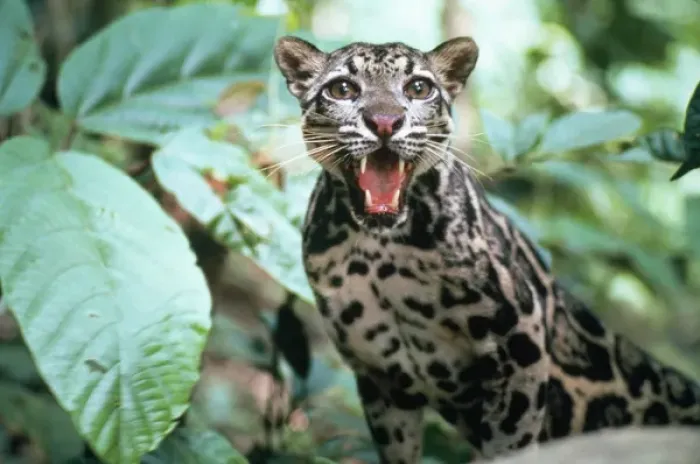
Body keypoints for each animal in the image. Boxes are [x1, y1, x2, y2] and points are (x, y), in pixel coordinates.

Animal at [273, 35, 700, 463]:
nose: (384, 122)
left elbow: (510, 440)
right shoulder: (380, 376)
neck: (380, 250)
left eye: (418, 88)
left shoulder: (521, 340)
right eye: (343, 89)